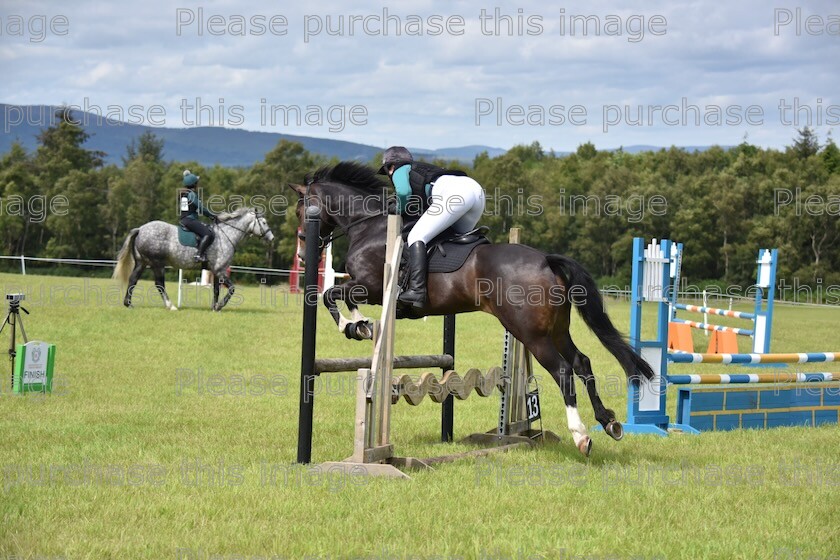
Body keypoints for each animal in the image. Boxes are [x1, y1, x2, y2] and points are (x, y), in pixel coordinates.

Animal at [111, 208, 274, 310]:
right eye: (264, 222)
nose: (271, 238)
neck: (227, 235)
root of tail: (140, 229)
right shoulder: (220, 270)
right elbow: (232, 289)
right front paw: (220, 306)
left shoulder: (216, 271)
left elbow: (216, 290)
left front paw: (215, 307)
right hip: (157, 263)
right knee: (159, 284)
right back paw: (170, 306)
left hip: (142, 262)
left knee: (133, 279)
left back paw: (128, 304)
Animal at [290, 161, 656, 456]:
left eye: (300, 211)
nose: (305, 254)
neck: (368, 225)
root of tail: (545, 260)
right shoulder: (369, 289)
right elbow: (338, 296)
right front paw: (361, 325)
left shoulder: (371, 286)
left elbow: (332, 295)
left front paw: (355, 326)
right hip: (556, 329)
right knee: (582, 362)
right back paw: (609, 422)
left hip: (531, 334)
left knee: (564, 371)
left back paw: (581, 436)